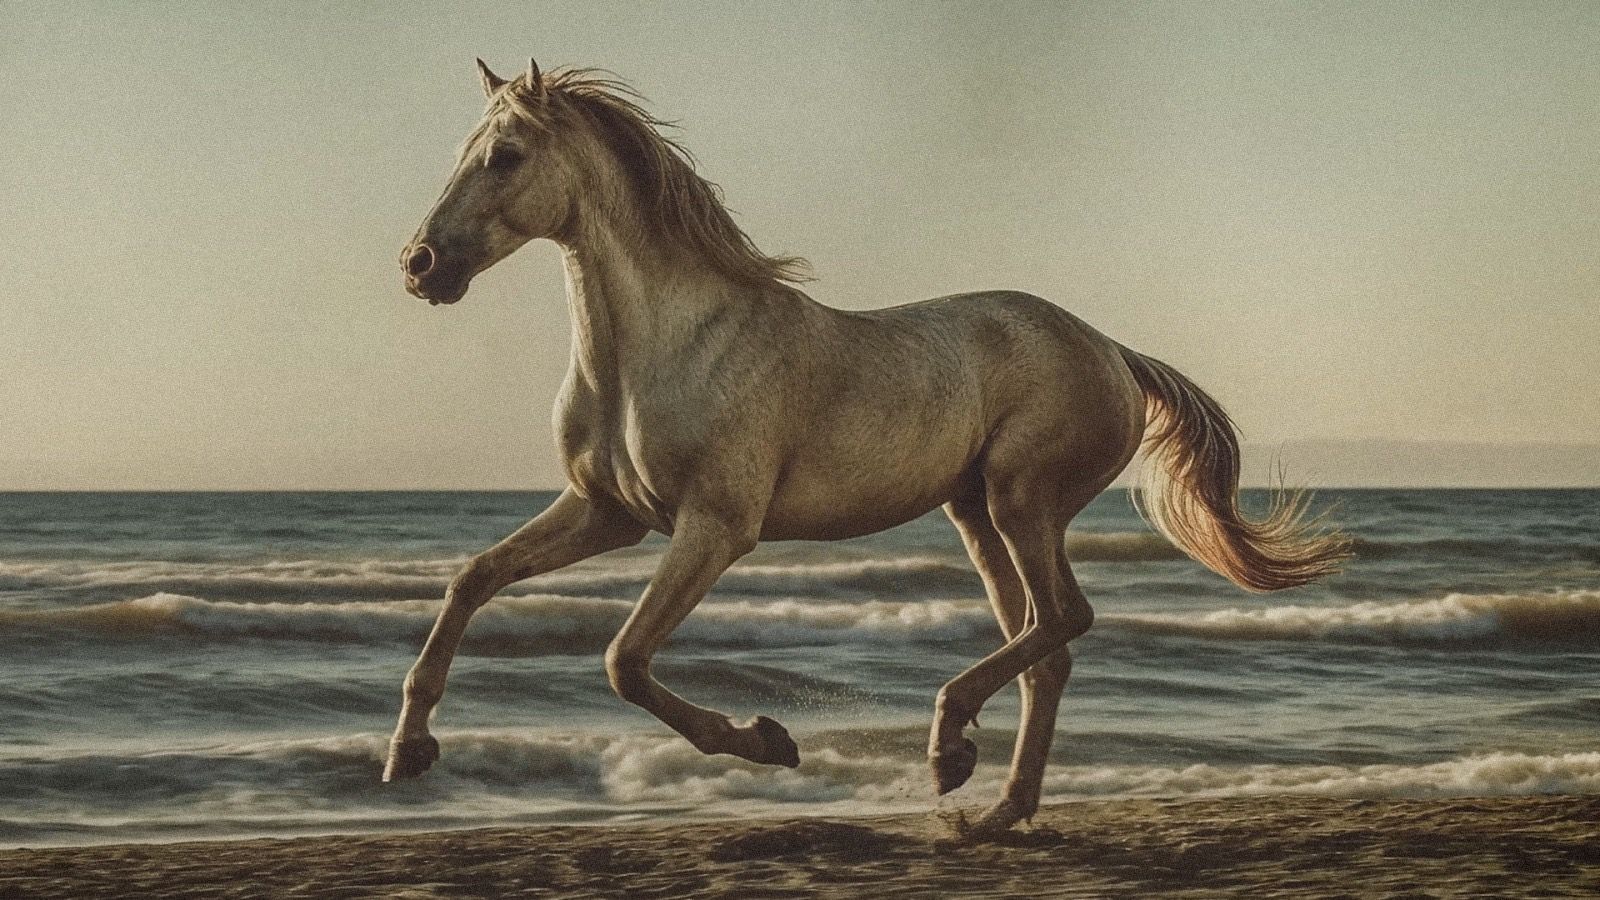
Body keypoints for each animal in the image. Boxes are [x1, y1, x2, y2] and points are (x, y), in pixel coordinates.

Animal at [384, 58, 1350, 836]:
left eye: (506, 155)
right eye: (466, 148)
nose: (421, 266)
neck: (660, 348)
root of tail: (1111, 348)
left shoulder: (715, 527)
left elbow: (624, 661)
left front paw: (768, 741)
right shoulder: (608, 513)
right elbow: (472, 577)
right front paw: (408, 752)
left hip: (1021, 499)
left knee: (1064, 619)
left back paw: (948, 749)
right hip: (975, 515)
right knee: (1048, 646)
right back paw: (994, 809)